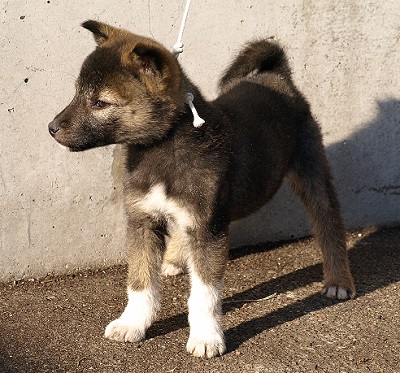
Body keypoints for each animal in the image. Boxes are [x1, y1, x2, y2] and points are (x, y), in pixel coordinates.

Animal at [48, 20, 354, 358]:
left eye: (101, 103)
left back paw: (338, 279)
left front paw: (206, 336)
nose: (51, 128)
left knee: (329, 222)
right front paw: (133, 322)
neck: (163, 146)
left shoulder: (209, 229)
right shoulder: (143, 220)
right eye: (77, 93)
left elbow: (204, 293)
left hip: (311, 168)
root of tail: (277, 76)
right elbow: (140, 280)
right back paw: (173, 259)